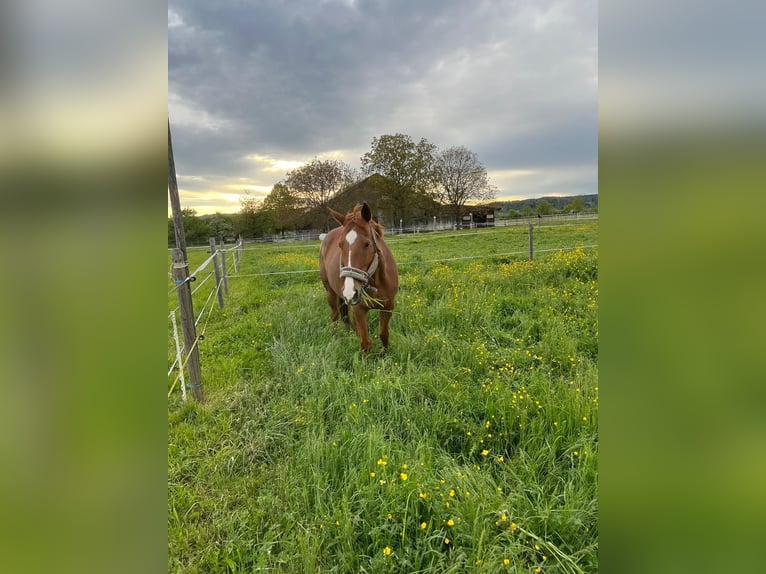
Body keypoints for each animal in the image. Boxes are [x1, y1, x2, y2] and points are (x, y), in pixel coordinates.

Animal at [319, 202, 399, 352]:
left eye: (367, 244)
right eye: (340, 245)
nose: (350, 292)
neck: (376, 283)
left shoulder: (388, 306)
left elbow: (384, 334)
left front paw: (385, 353)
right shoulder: (359, 309)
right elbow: (365, 343)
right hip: (331, 293)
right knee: (334, 315)